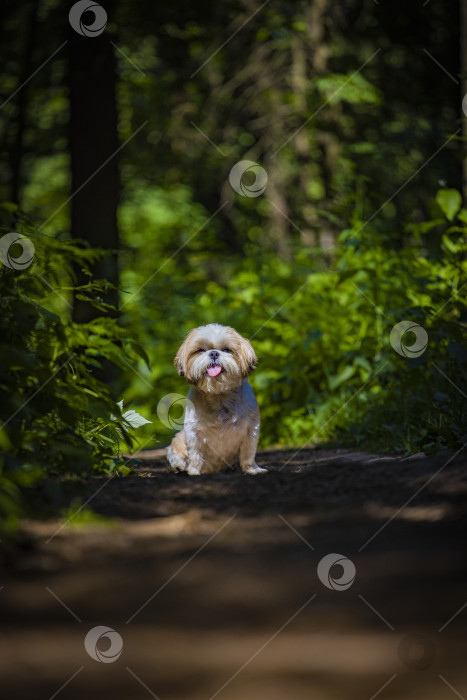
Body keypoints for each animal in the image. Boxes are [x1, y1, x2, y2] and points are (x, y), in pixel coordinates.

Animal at [167, 322, 268, 476]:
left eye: (226, 349)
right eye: (201, 350)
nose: (214, 353)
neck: (219, 395)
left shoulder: (251, 428)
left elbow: (248, 453)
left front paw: (252, 469)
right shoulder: (192, 432)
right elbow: (195, 453)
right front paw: (194, 471)